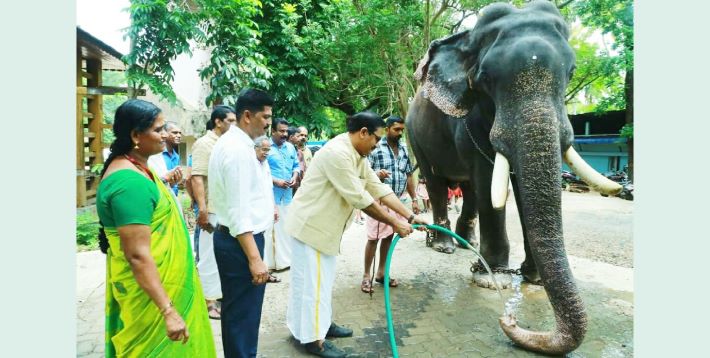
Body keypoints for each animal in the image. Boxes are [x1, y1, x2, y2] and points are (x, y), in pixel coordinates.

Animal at [406, 0, 624, 356]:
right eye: (485, 79)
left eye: (571, 72)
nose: (509, 320)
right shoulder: (469, 121)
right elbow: (488, 182)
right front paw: (492, 277)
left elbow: (516, 186)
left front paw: (532, 277)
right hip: (416, 139)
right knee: (437, 182)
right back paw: (444, 246)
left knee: (467, 190)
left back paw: (469, 245)